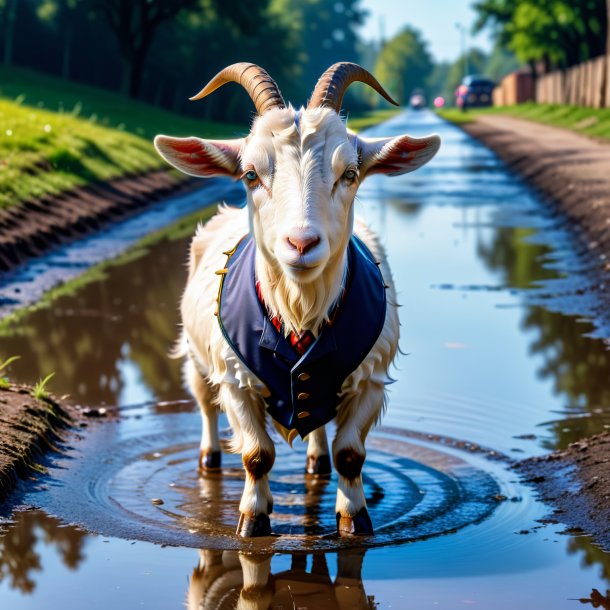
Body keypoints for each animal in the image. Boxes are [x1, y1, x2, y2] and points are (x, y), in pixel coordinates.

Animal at [152, 61, 436, 536]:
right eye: (251, 174)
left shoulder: (371, 377)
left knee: (316, 418)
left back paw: (316, 462)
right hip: (196, 353)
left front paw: (354, 517)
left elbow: (350, 454)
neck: (299, 313)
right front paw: (252, 519)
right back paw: (209, 459)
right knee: (204, 403)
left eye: (350, 174)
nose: (301, 243)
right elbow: (256, 455)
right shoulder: (235, 379)